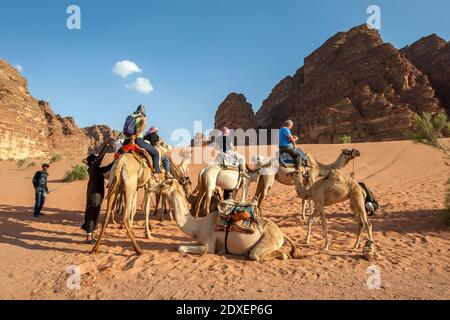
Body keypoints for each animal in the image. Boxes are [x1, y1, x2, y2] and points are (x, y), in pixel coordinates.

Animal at [153, 179, 300, 262]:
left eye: (163, 185)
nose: (151, 186)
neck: (197, 226)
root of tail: (281, 233)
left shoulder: (209, 245)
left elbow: (182, 248)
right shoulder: (199, 239)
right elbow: (180, 244)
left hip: (269, 240)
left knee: (259, 255)